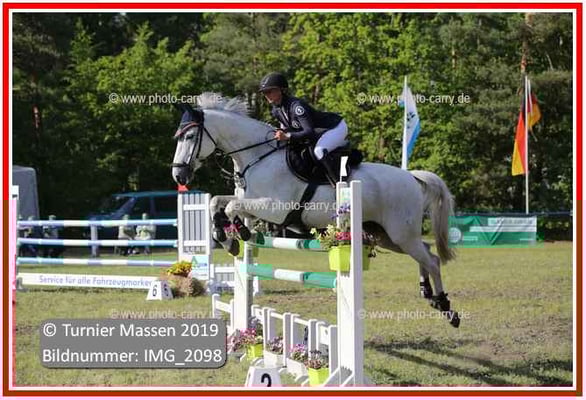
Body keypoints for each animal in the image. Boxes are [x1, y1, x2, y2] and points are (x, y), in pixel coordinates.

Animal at [171, 93, 460, 327]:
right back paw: (427, 293)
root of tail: (411, 177)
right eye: (179, 136)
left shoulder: (275, 208)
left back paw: (446, 307)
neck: (258, 157)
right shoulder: (251, 201)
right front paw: (226, 235)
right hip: (388, 236)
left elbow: (231, 206)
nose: (179, 176)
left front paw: (235, 235)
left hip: (400, 233)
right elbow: (217, 202)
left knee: (432, 260)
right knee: (427, 251)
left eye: (189, 136)